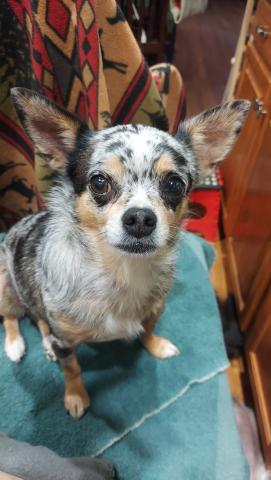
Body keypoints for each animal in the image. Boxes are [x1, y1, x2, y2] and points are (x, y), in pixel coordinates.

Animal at [0, 88, 251, 418]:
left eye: (174, 184)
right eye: (99, 182)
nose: (141, 219)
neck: (123, 270)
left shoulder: (156, 307)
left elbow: (147, 329)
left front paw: (156, 346)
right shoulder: (65, 339)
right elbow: (72, 368)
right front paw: (75, 396)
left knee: (38, 318)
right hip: (5, 285)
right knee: (12, 316)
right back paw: (16, 345)